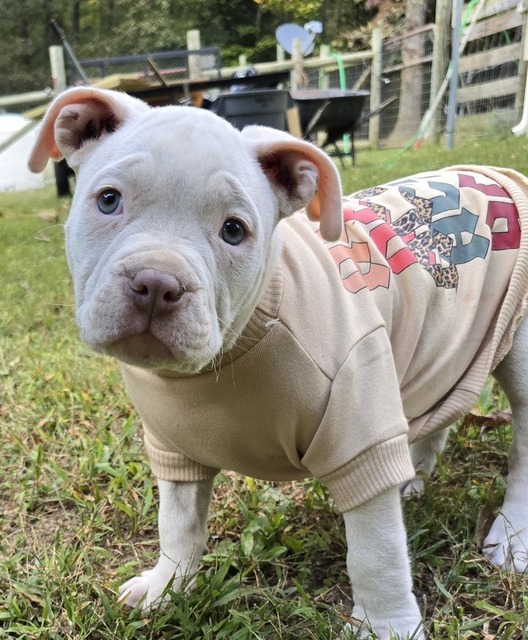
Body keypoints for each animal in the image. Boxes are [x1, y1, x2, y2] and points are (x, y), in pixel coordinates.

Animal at [28, 86, 528, 640]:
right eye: (108, 200)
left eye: (233, 231)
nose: (157, 283)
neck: (225, 355)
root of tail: (495, 172)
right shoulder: (173, 445)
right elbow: (177, 524)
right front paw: (166, 586)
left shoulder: (361, 436)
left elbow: (376, 554)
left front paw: (388, 627)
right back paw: (415, 478)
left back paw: (510, 538)